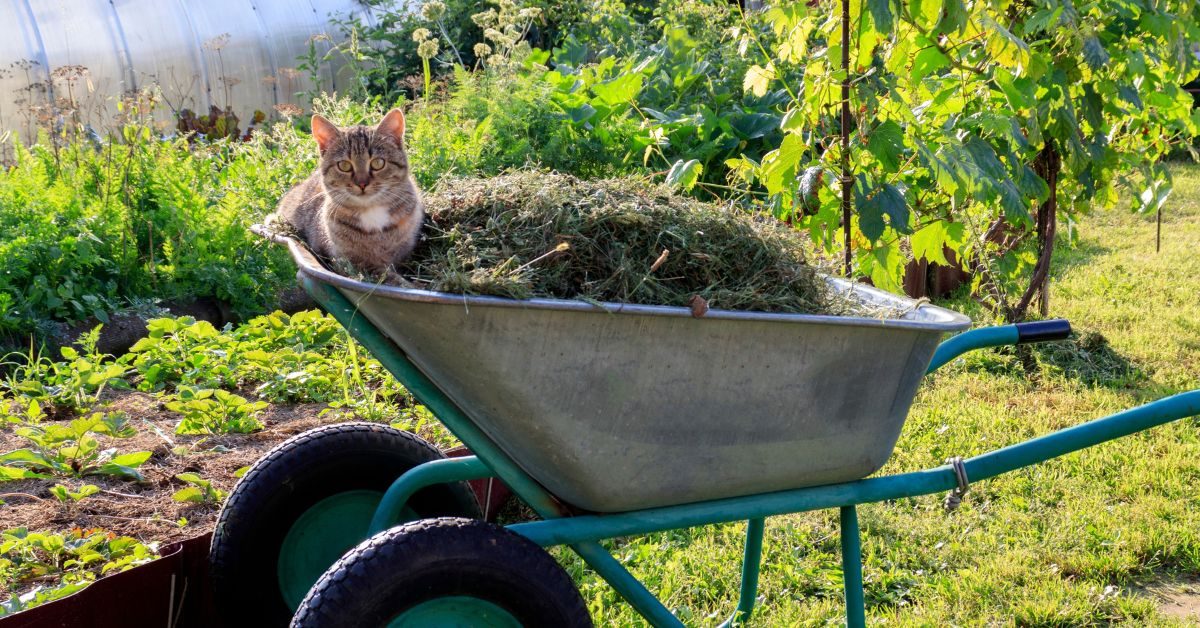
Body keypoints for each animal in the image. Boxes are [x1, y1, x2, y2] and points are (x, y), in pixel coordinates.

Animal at [274, 109, 424, 277]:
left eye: (378, 163)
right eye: (344, 165)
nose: (362, 183)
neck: (371, 211)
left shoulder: (403, 252)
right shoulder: (349, 262)